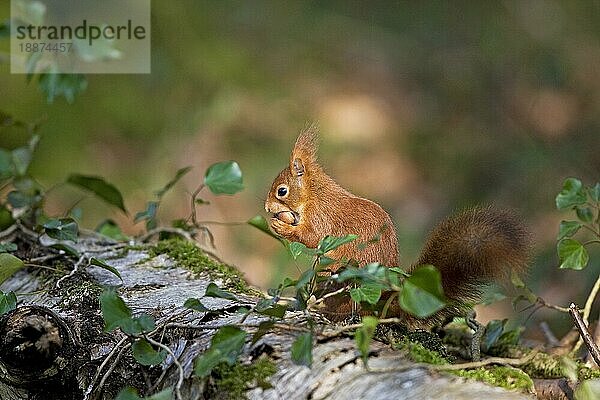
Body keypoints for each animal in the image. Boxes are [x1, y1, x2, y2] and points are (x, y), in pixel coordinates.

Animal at [264, 126, 528, 326]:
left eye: (281, 191)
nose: (266, 208)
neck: (313, 195)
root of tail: (383, 305)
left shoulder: (322, 217)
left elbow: (312, 236)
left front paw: (282, 228)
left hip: (346, 280)